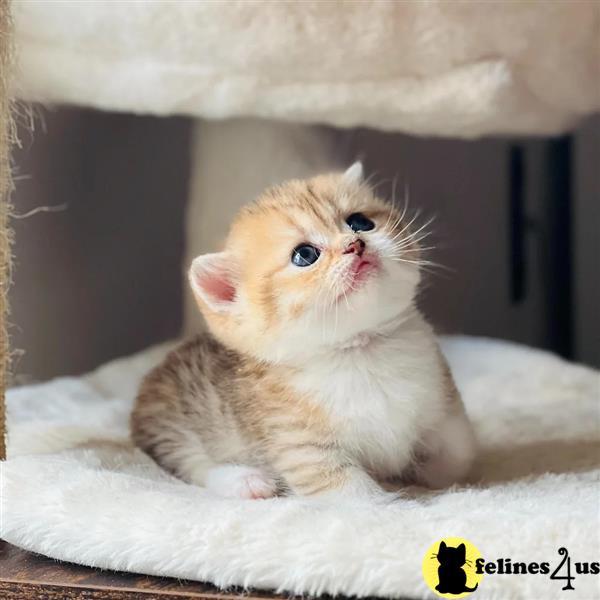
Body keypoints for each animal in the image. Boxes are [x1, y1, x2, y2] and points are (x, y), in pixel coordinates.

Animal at [129, 162, 476, 500]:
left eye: (360, 222)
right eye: (305, 255)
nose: (355, 245)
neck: (362, 351)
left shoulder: (443, 404)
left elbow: (460, 456)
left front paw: (422, 472)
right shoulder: (301, 447)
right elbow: (357, 497)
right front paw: (390, 500)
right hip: (170, 424)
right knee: (191, 463)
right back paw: (244, 481)